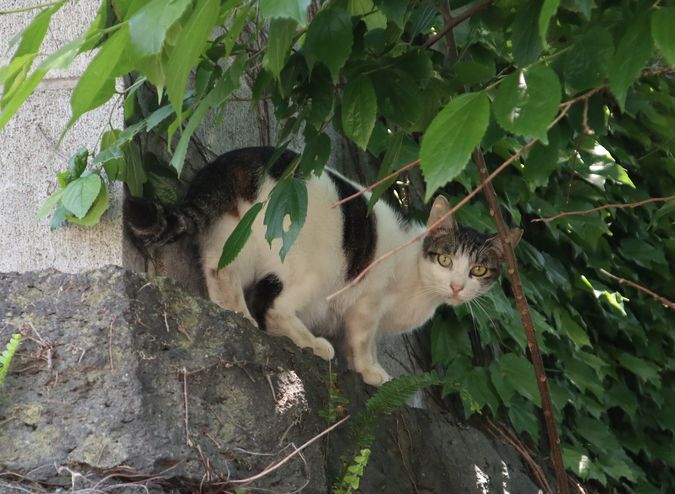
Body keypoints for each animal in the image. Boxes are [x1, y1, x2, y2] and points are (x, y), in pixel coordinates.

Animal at [125, 147, 524, 386]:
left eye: (478, 271)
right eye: (445, 259)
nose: (457, 286)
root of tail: (235, 161)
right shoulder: (368, 303)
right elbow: (363, 341)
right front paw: (370, 371)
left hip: (230, 240)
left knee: (219, 271)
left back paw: (237, 315)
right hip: (320, 267)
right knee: (275, 308)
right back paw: (310, 343)